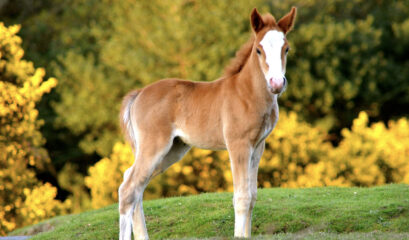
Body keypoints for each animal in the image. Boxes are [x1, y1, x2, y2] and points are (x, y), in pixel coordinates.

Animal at [118, 6, 296, 239]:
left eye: (287, 49)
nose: (276, 83)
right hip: (154, 147)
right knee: (128, 190)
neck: (247, 92)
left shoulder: (258, 146)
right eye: (259, 50)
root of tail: (138, 93)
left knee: (135, 185)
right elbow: (241, 197)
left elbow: (252, 196)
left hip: (172, 150)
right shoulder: (238, 145)